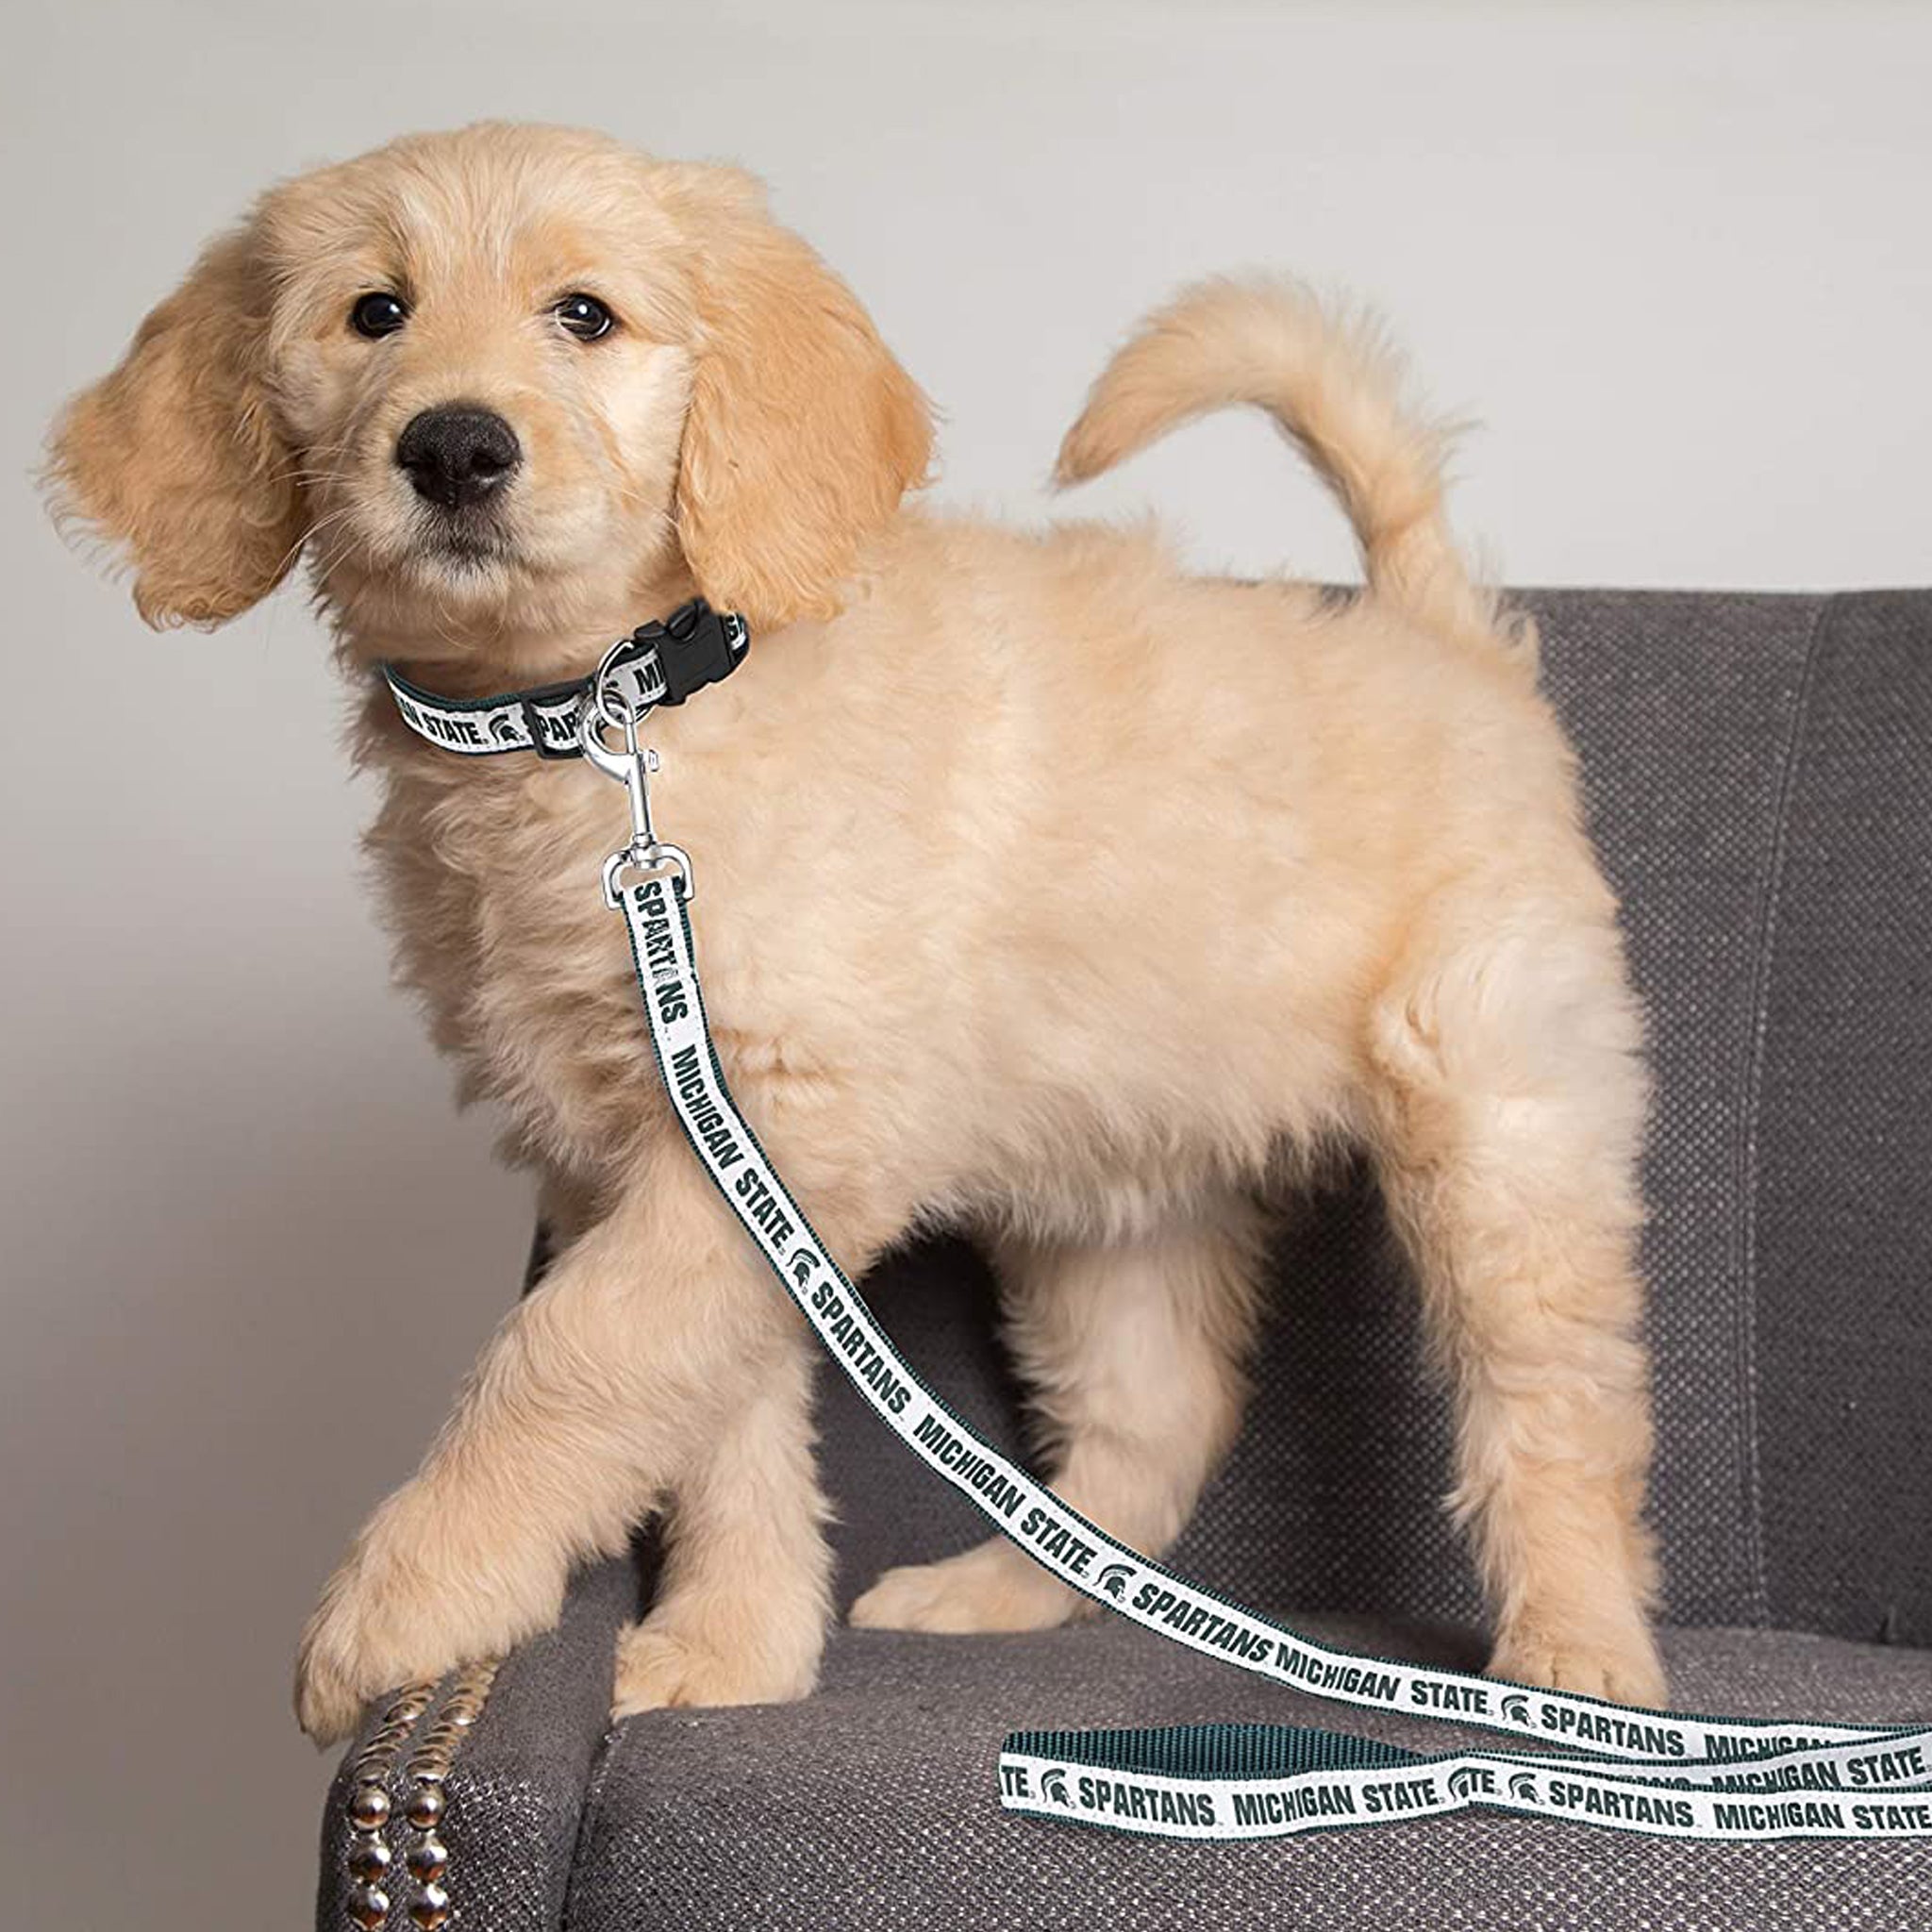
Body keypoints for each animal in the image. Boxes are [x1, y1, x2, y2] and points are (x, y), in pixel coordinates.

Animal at [53, 125, 1669, 1754]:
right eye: (373, 314)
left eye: (586, 316)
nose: (453, 447)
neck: (604, 722)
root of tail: (1439, 632)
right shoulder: (648, 1151)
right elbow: (701, 1410)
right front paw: (732, 1648)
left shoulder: (780, 1128)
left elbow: (573, 1354)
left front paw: (402, 1604)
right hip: (1113, 1182)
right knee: (1157, 1416)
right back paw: (999, 1592)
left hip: (1501, 1129)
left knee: (1563, 1409)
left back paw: (1583, 1657)